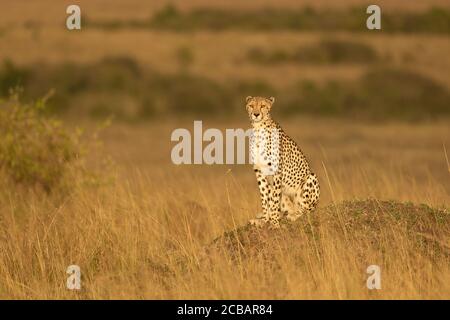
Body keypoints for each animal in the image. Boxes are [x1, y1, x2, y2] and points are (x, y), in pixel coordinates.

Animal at [246, 95, 320, 228]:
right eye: (251, 105)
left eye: (263, 106)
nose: (256, 114)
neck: (258, 129)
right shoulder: (259, 172)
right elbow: (265, 197)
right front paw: (264, 219)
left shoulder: (276, 172)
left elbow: (274, 199)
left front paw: (274, 222)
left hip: (310, 179)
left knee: (306, 210)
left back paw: (294, 216)